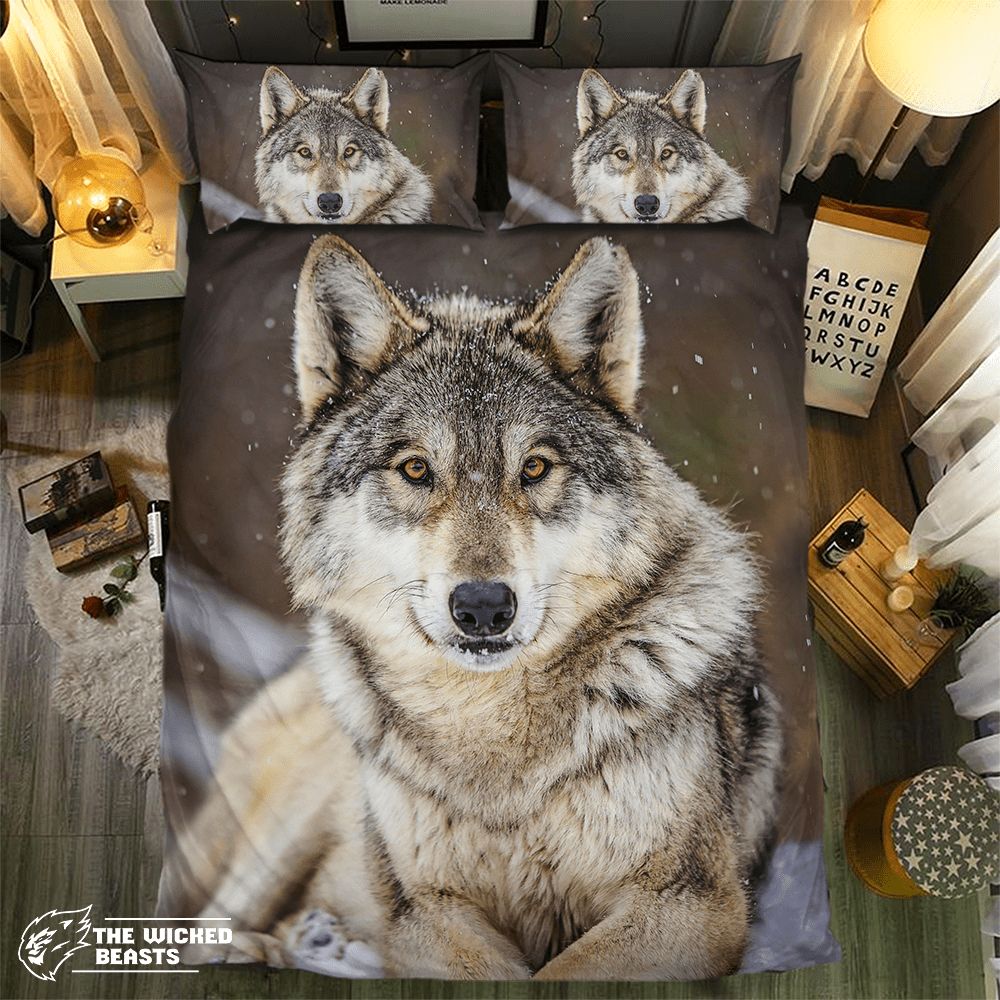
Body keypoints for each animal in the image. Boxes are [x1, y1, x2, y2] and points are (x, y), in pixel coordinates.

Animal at [175, 235, 782, 981]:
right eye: (415, 469)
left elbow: (562, 973)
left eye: (535, 468)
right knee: (202, 928)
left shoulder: (695, 902)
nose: (485, 607)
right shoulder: (421, 909)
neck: (493, 737)